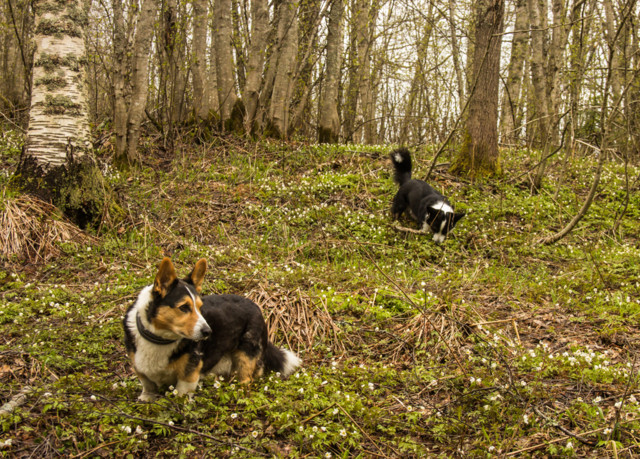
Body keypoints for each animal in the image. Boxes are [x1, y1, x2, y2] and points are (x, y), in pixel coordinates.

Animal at [124, 256, 302, 400]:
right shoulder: (140, 369)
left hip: (246, 355)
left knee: (247, 378)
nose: (208, 332)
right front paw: (146, 399)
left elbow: (181, 396)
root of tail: (256, 306)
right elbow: (148, 386)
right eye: (184, 307)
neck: (160, 339)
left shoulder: (188, 375)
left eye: (200, 307)